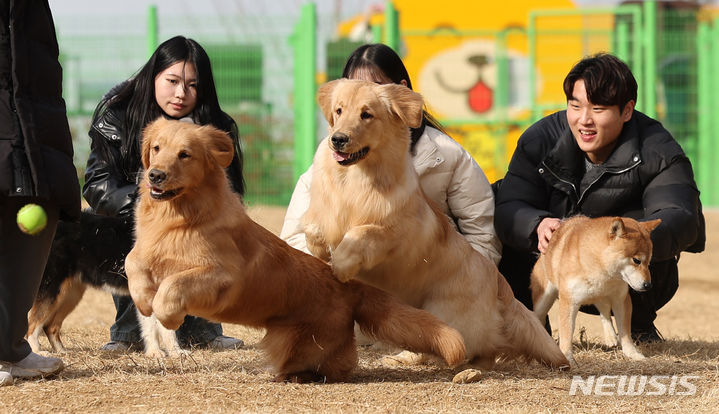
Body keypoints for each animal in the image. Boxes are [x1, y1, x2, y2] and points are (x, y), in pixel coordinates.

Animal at [532, 215, 660, 364]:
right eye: (637, 260)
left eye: (649, 262)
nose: (648, 285)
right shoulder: (569, 301)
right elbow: (567, 332)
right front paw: (567, 358)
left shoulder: (621, 299)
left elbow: (625, 332)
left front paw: (632, 353)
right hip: (543, 300)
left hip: (600, 296)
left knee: (604, 312)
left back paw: (611, 337)